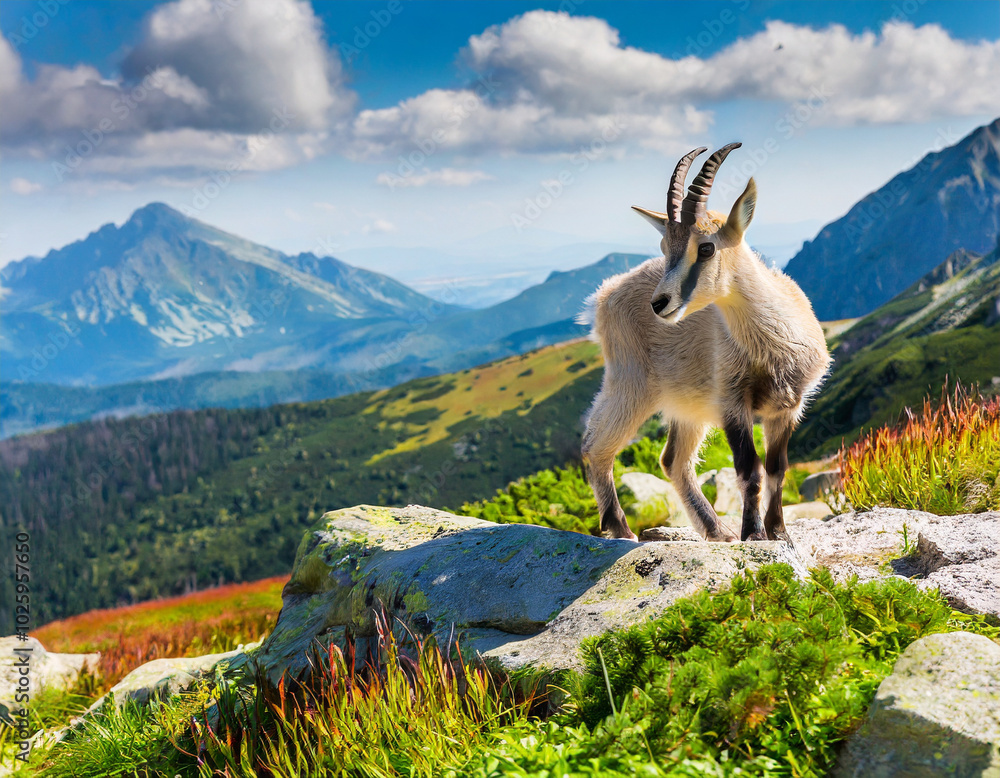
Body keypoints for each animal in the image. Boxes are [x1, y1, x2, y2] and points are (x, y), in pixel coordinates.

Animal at [580, 143, 830, 543]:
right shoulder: (732, 403)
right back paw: (621, 529)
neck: (772, 343)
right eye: (665, 244)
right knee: (596, 445)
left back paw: (716, 530)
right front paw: (753, 536)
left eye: (707, 248)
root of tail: (604, 296)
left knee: (673, 460)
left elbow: (777, 469)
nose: (659, 303)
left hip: (687, 405)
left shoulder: (787, 408)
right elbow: (749, 470)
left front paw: (778, 533)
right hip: (630, 384)